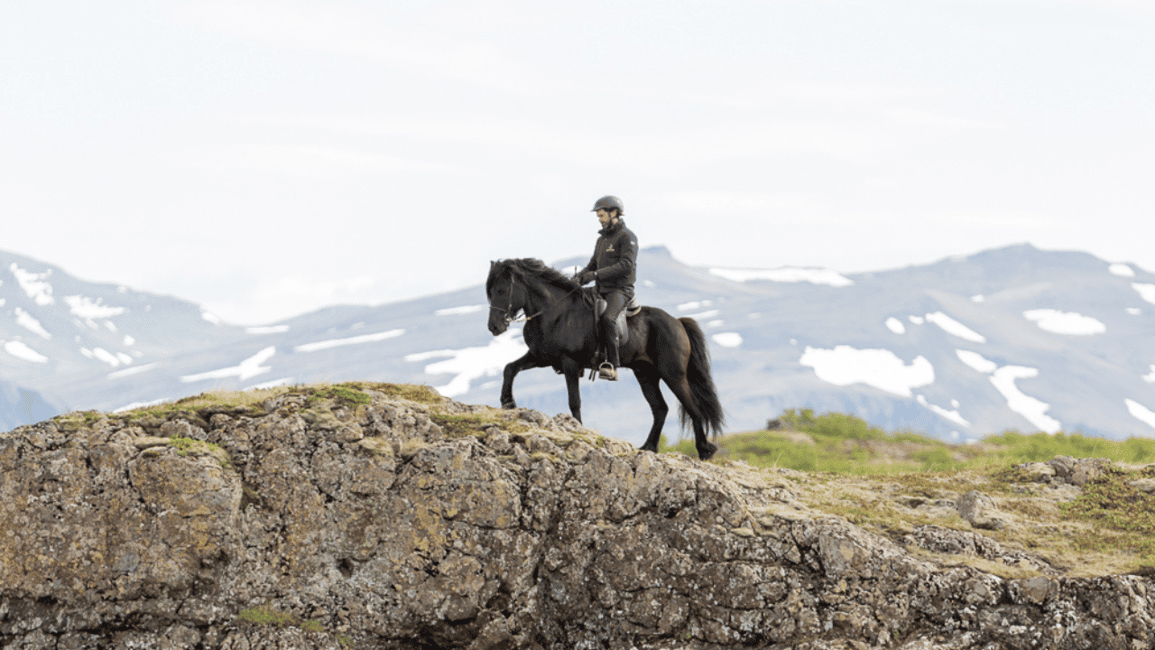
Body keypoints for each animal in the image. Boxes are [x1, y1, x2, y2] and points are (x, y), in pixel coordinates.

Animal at [486, 258, 723, 460]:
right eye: (490, 292)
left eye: (502, 290)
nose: (494, 327)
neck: (555, 312)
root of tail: (677, 321)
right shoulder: (540, 357)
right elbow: (509, 368)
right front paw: (508, 401)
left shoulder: (570, 363)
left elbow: (574, 402)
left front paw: (578, 430)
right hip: (646, 375)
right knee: (660, 409)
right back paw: (648, 447)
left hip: (673, 374)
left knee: (692, 407)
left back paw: (704, 451)